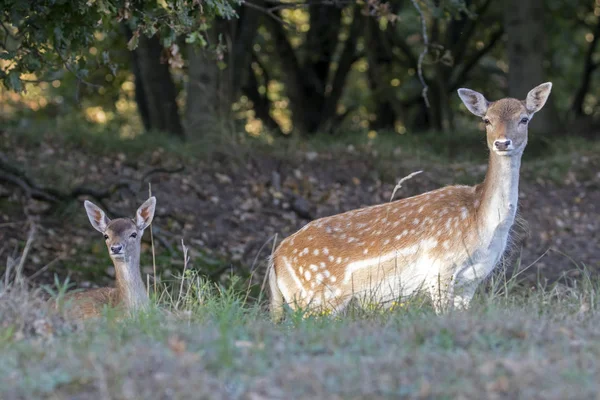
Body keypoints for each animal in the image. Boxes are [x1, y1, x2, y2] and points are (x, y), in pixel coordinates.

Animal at [270, 82, 552, 318]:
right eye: (486, 120)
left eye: (524, 118)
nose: (502, 143)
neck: (483, 224)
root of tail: (275, 261)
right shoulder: (440, 270)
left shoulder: (471, 281)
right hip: (315, 297)